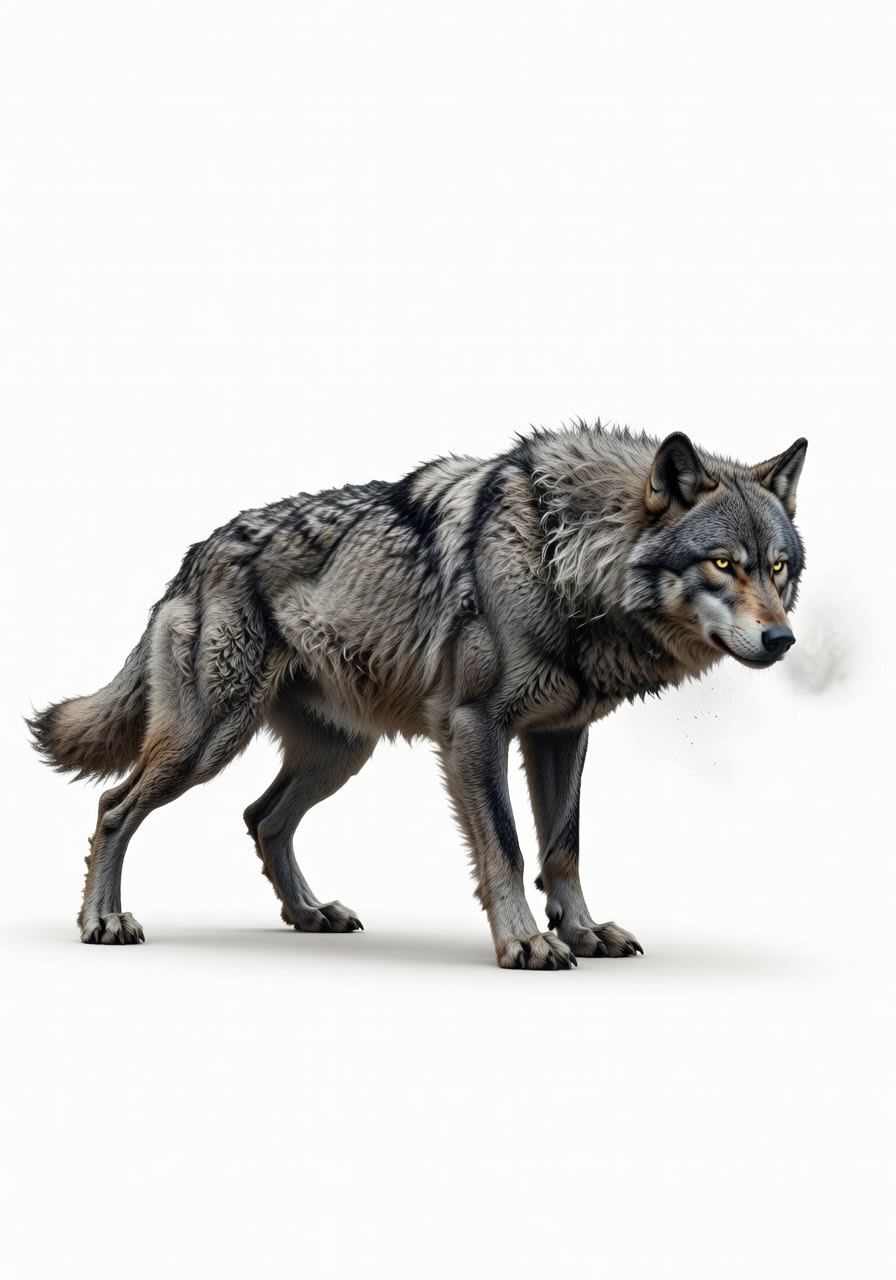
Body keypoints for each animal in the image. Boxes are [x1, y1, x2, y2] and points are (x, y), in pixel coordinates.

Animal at [29, 423, 807, 968]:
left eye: (777, 567)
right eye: (722, 564)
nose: (783, 640)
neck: (563, 556)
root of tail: (194, 556)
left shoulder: (562, 733)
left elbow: (563, 848)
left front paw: (584, 932)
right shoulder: (476, 730)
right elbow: (508, 849)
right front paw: (526, 944)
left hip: (339, 757)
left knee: (261, 818)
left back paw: (310, 914)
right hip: (207, 743)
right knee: (114, 807)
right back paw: (104, 922)